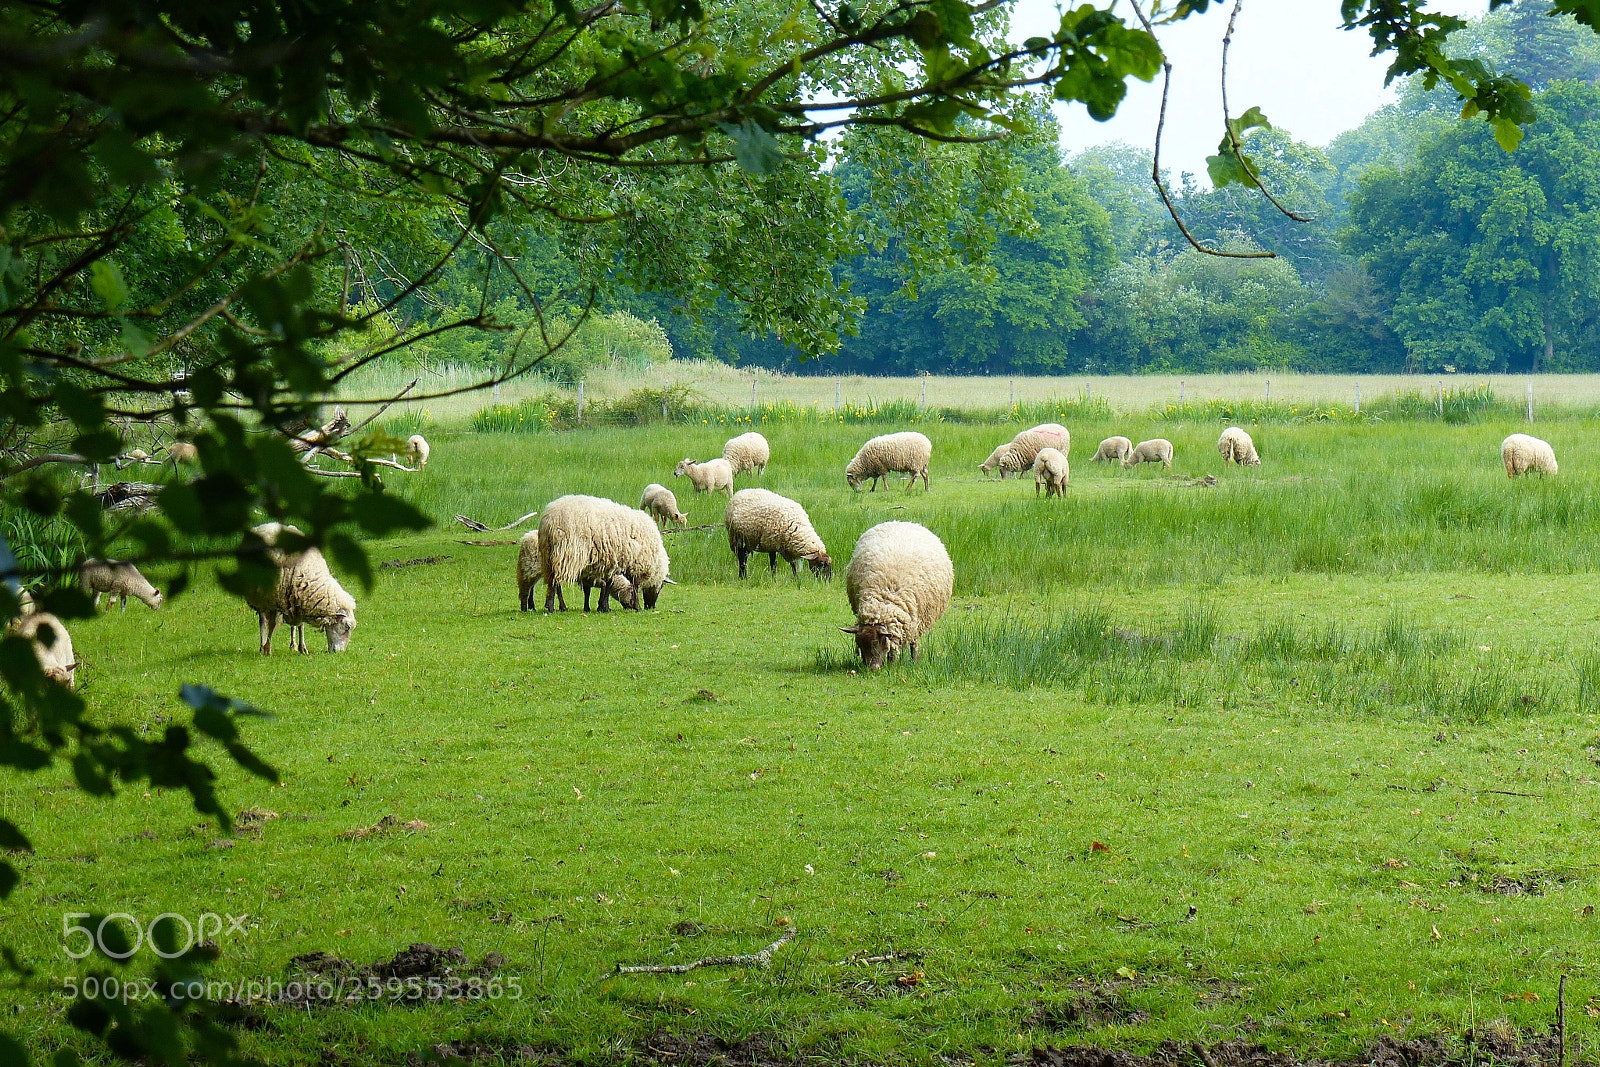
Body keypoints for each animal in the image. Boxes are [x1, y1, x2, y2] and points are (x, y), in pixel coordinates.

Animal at [244, 523, 357, 654]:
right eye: (347, 627)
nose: (339, 652)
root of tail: (267, 524)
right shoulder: (275, 601)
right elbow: (272, 625)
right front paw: (267, 648)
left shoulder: (298, 600)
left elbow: (300, 625)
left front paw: (302, 647)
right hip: (260, 594)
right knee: (262, 620)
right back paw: (262, 645)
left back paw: (293, 645)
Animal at [538, 495, 673, 613]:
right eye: (661, 586)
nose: (651, 607)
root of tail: (549, 520)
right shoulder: (635, 565)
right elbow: (634, 586)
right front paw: (636, 607)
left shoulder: (613, 562)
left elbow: (608, 584)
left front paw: (603, 606)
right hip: (565, 553)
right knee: (556, 582)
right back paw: (554, 607)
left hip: (548, 554)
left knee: (552, 580)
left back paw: (556, 606)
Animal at [841, 521, 953, 671]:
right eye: (859, 644)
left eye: (876, 642)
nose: (872, 668)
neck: (884, 599)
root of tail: (902, 522)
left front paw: (893, 662)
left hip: (917, 620)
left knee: (914, 641)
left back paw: (914, 658)